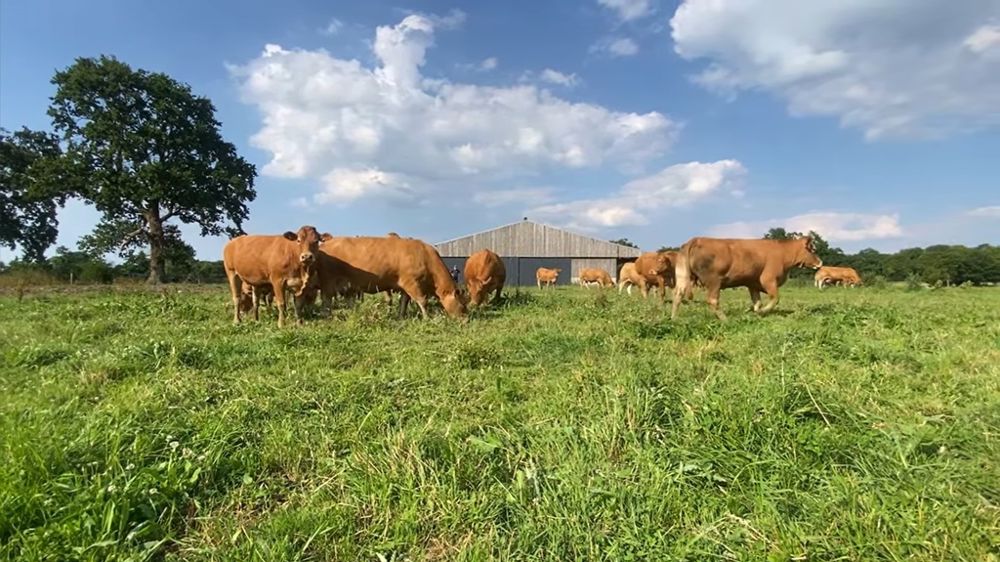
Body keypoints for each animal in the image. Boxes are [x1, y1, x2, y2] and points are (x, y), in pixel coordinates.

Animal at [316, 236, 466, 319]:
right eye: (463, 305)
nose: (466, 320)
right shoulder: (412, 283)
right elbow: (422, 301)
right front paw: (427, 318)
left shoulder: (405, 287)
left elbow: (404, 302)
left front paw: (401, 316)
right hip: (329, 281)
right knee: (326, 299)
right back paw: (327, 315)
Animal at [671, 236, 823, 320]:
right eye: (812, 250)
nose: (820, 262)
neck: (783, 253)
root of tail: (696, 239)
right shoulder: (768, 279)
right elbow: (775, 299)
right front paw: (763, 311)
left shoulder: (752, 284)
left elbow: (757, 302)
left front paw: (755, 313)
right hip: (714, 281)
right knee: (713, 300)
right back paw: (725, 319)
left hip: (683, 277)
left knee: (678, 295)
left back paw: (674, 319)